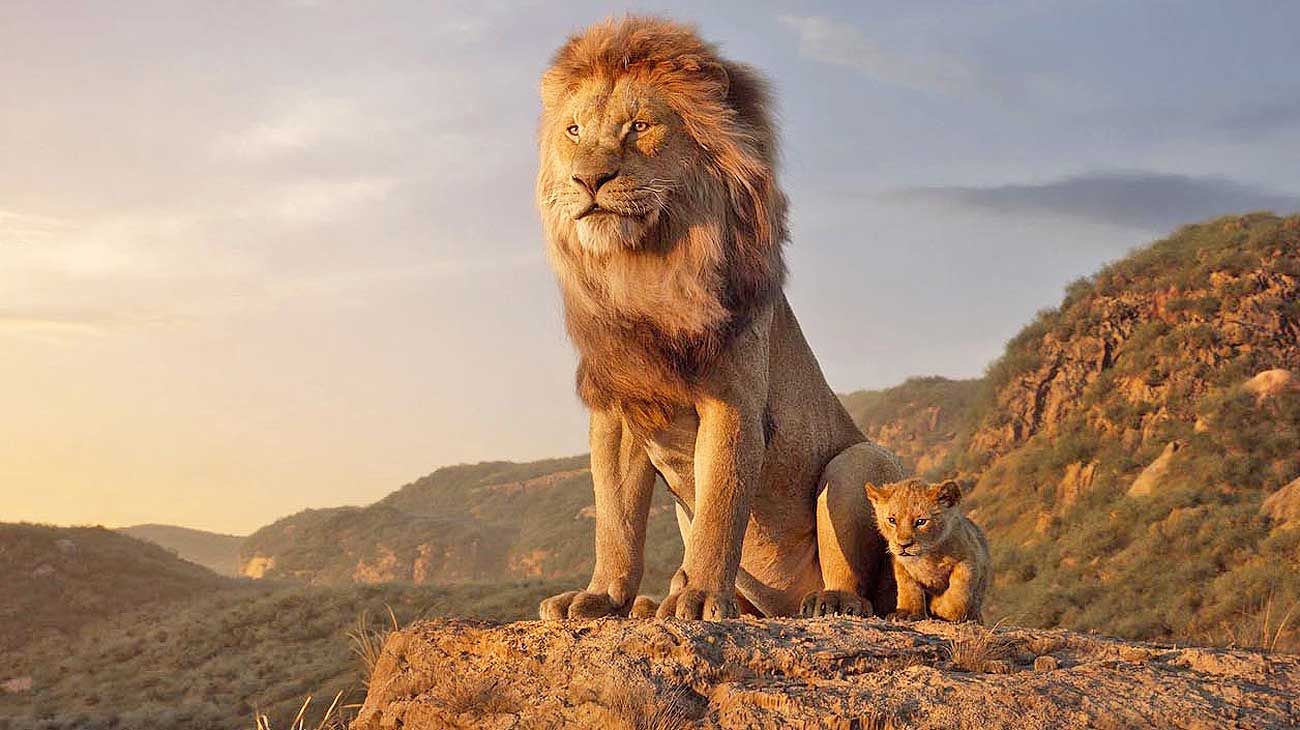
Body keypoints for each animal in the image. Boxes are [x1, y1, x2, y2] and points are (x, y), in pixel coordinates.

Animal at [534, 16, 903, 620]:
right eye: (573, 131)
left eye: (639, 126)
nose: (588, 180)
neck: (646, 270)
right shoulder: (618, 409)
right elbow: (616, 520)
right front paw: (601, 597)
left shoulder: (733, 402)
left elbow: (720, 507)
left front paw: (702, 596)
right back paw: (653, 602)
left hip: (858, 463)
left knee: (861, 583)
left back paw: (829, 601)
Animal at [865, 479, 991, 622]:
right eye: (892, 520)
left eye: (921, 522)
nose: (903, 545)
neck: (927, 556)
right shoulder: (901, 565)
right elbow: (908, 588)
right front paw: (907, 612)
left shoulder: (969, 559)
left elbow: (959, 590)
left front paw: (940, 607)